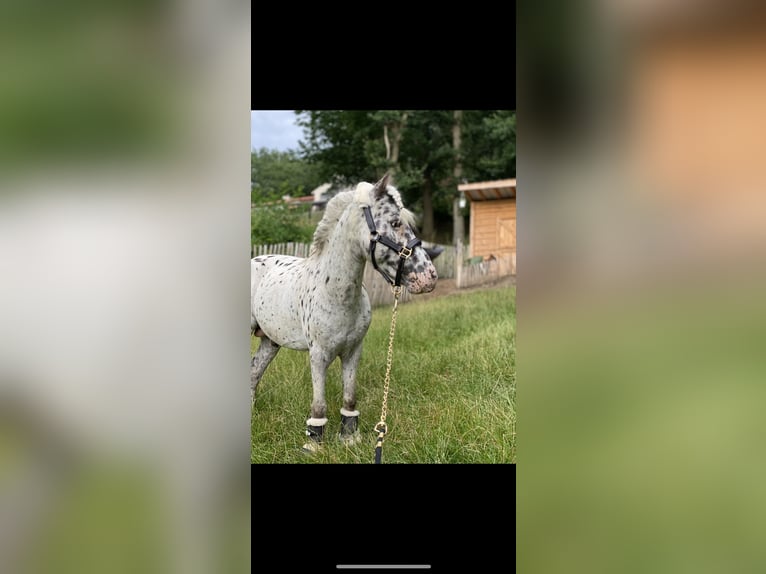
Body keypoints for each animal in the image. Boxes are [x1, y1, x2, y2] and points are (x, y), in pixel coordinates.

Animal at [252, 173, 438, 452]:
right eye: (395, 222)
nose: (429, 278)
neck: (335, 294)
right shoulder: (318, 355)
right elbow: (319, 404)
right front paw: (314, 444)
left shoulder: (353, 351)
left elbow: (350, 397)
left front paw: (349, 438)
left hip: (269, 342)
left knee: (254, 373)